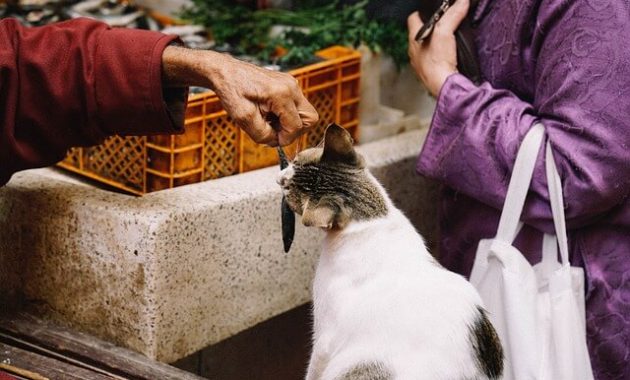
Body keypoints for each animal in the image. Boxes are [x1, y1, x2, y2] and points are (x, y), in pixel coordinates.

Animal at [278, 124, 506, 380]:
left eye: (289, 189)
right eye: (296, 160)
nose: (280, 177)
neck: (372, 220)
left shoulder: (324, 338)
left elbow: (312, 368)